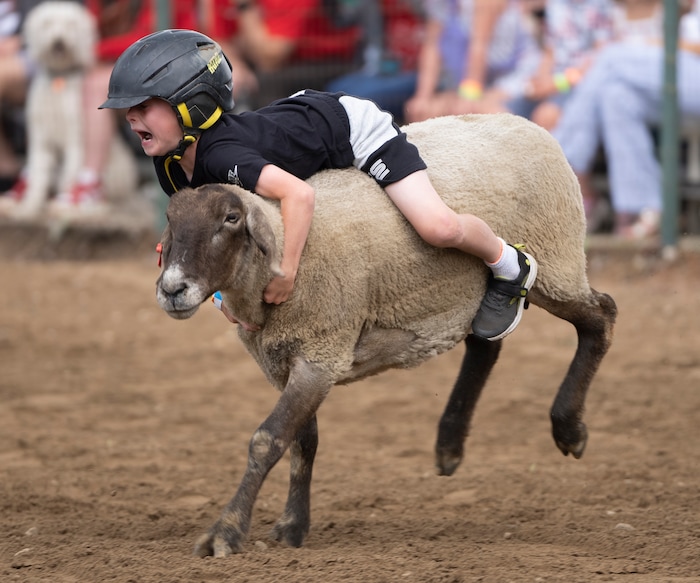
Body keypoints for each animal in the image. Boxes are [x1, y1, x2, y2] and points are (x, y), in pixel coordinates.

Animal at [13, 1, 138, 220]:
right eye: (48, 23)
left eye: (70, 24)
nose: (58, 41)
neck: (58, 80)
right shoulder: (41, 138)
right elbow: (38, 173)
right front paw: (30, 207)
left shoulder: (75, 138)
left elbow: (70, 172)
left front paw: (65, 207)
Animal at [156, 113, 616, 556]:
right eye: (170, 220)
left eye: (231, 219)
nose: (173, 289)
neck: (284, 239)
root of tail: (531, 125)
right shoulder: (293, 362)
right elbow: (302, 443)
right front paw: (292, 526)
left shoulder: (321, 352)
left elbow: (268, 440)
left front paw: (225, 533)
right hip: (480, 291)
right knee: (487, 344)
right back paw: (450, 444)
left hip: (554, 263)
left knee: (601, 316)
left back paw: (568, 429)